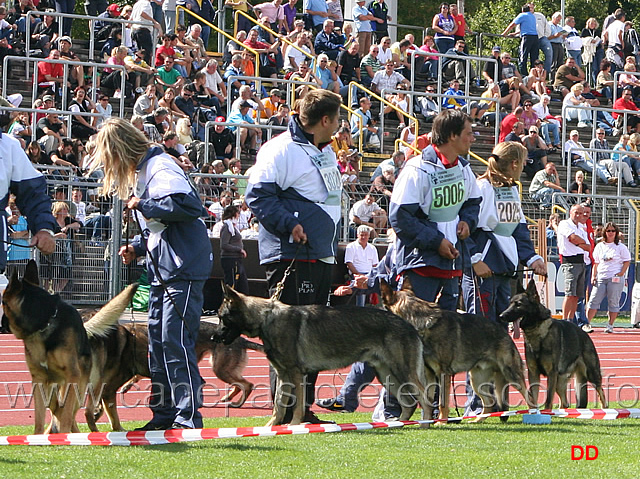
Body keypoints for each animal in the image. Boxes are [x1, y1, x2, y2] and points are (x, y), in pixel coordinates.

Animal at [1, 260, 138, 436]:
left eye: (2, 302)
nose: (2, 324)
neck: (44, 324)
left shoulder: (72, 377)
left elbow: (65, 413)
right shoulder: (38, 380)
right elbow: (40, 418)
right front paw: (38, 437)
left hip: (81, 386)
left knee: (69, 411)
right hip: (54, 389)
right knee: (57, 410)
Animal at [86, 322, 264, 432]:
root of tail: (241, 340)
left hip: (220, 368)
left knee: (247, 384)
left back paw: (236, 402)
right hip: (221, 368)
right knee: (239, 384)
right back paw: (228, 398)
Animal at [215, 284, 430, 426]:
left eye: (222, 318)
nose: (213, 336)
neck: (266, 318)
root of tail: (409, 326)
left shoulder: (296, 374)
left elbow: (297, 406)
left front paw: (293, 427)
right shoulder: (284, 375)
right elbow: (279, 405)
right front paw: (270, 429)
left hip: (403, 373)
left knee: (425, 398)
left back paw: (426, 423)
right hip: (387, 376)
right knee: (409, 403)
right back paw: (400, 423)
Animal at [380, 276, 536, 422]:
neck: (424, 324)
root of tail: (505, 332)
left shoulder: (443, 373)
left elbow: (442, 402)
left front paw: (441, 422)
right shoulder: (429, 374)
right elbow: (428, 400)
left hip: (511, 374)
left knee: (529, 397)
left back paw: (535, 416)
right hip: (476, 380)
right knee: (490, 402)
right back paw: (477, 420)